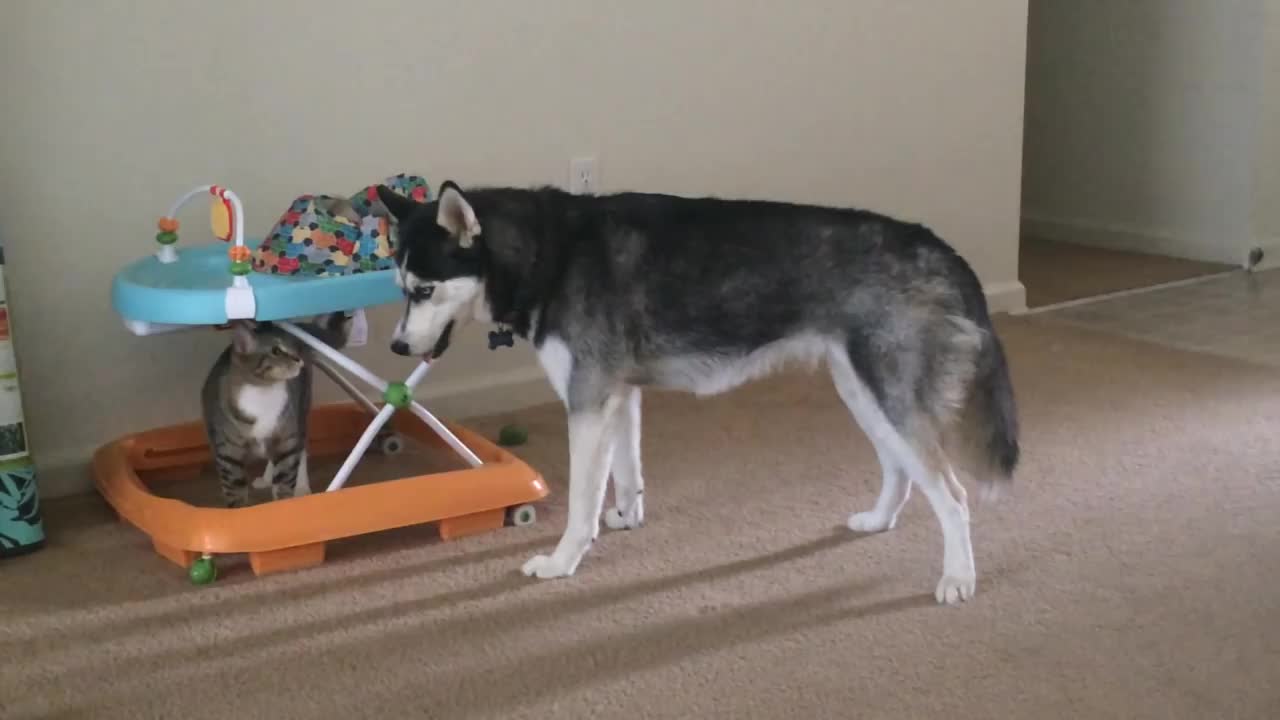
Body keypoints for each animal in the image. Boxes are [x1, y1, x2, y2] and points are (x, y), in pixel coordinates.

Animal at [200, 312, 350, 504]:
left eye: (294, 349)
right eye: (276, 351)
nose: (298, 359)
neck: (263, 393)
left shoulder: (287, 437)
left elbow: (285, 479)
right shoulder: (227, 450)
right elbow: (235, 490)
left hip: (300, 412)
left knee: (300, 450)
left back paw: (300, 487)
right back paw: (266, 479)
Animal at [376, 179, 1018, 599]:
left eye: (425, 290)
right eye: (401, 286)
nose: (399, 348)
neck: (548, 254)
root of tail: (935, 244)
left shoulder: (588, 401)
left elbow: (581, 503)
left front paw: (563, 562)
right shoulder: (620, 396)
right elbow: (627, 472)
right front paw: (627, 516)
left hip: (889, 396)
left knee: (952, 496)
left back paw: (959, 577)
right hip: (862, 391)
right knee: (900, 470)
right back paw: (880, 521)